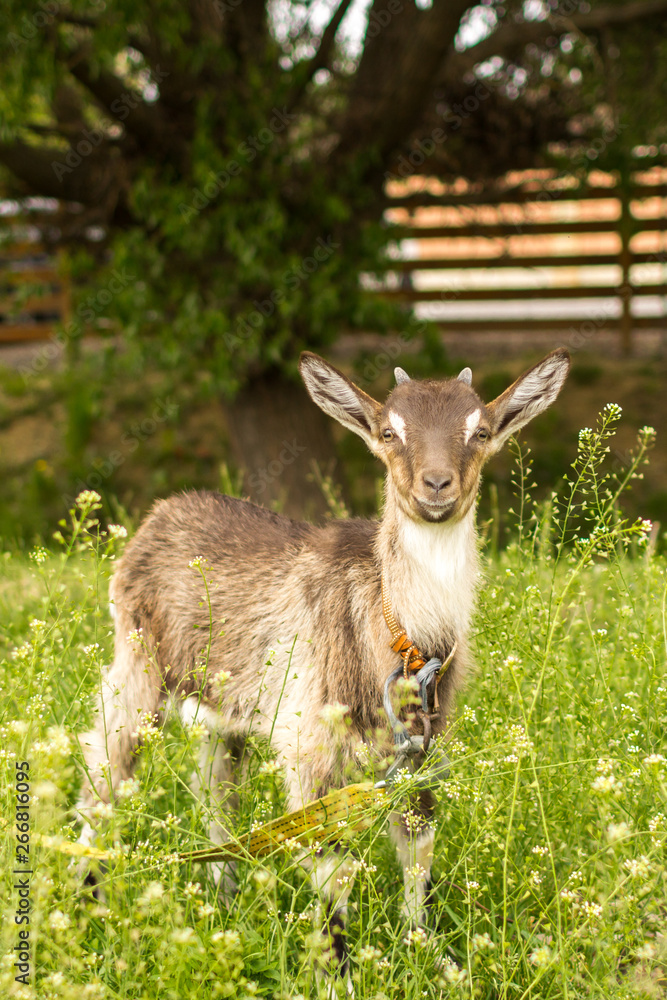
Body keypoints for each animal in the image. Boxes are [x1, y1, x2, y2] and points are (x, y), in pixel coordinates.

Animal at [77, 348, 570, 976]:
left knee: (217, 798)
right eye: (389, 432)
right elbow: (331, 867)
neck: (398, 633)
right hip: (138, 672)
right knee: (102, 773)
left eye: (480, 431)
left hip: (221, 716)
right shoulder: (311, 743)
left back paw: (221, 906)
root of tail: (159, 515)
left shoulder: (422, 748)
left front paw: (429, 955)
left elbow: (419, 845)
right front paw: (338, 974)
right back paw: (87, 909)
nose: (437, 486)